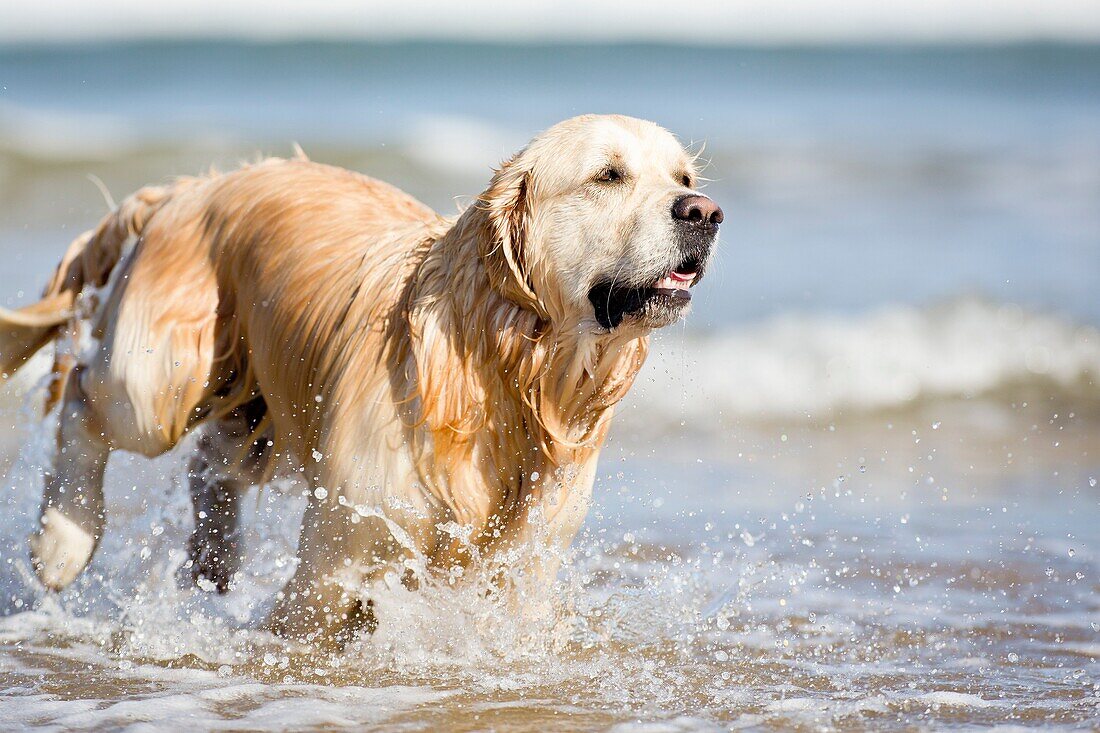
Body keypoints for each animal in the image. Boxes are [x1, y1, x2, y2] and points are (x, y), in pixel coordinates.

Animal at [0, 112, 721, 638]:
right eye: (608, 175)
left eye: (683, 174)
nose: (705, 212)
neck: (501, 369)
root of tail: (192, 186)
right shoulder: (341, 545)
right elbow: (307, 618)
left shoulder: (527, 561)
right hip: (157, 382)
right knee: (84, 399)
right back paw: (62, 541)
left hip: (255, 402)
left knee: (210, 459)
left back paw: (212, 557)